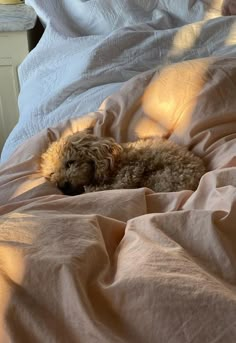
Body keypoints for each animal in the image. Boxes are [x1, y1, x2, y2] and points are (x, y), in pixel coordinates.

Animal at [41, 131, 206, 196]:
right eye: (52, 173)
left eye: (70, 163)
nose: (63, 185)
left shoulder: (129, 173)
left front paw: (91, 189)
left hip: (163, 179)